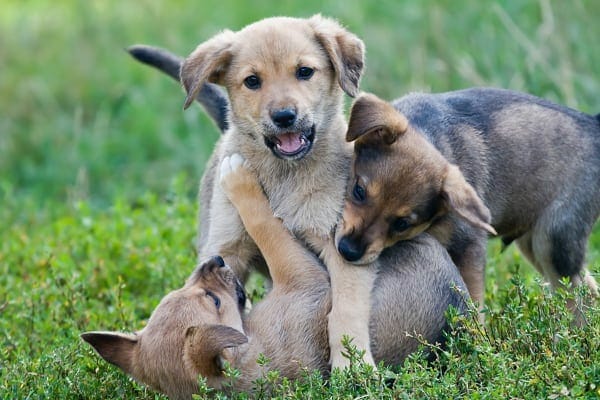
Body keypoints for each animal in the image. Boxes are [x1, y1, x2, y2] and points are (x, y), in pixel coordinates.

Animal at [82, 154, 468, 400]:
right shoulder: (303, 278)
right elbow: (266, 225)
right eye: (215, 300)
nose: (213, 263)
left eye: (179, 292)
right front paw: (238, 180)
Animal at [178, 14, 376, 366]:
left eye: (304, 72)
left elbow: (345, 309)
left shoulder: (340, 245)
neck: (285, 176)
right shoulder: (227, 248)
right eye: (252, 81)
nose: (284, 116)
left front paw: (353, 365)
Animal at [336, 90, 596, 316]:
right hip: (533, 244)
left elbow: (473, 303)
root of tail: (593, 124)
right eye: (359, 191)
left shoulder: (469, 249)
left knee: (577, 299)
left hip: (553, 242)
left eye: (402, 224)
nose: (348, 251)